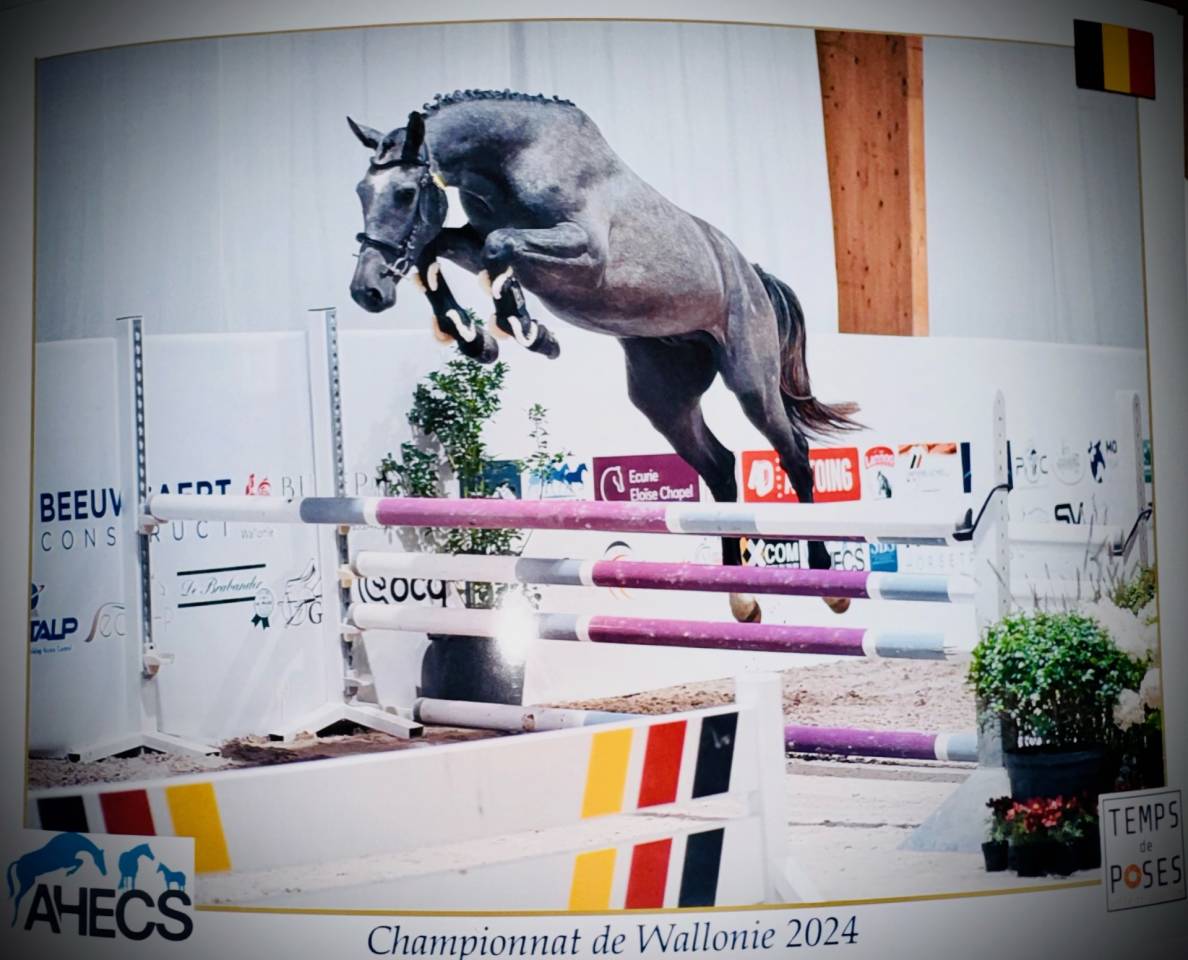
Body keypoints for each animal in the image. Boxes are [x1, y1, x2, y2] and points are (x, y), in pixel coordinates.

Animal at [347, 90, 860, 621]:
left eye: (406, 193)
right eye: (362, 192)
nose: (367, 291)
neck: (516, 156)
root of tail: (754, 272)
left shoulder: (583, 250)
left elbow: (496, 246)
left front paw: (528, 330)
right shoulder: (472, 238)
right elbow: (438, 247)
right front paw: (476, 338)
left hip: (750, 381)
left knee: (794, 454)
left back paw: (828, 582)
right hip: (662, 397)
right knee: (720, 466)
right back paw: (739, 595)